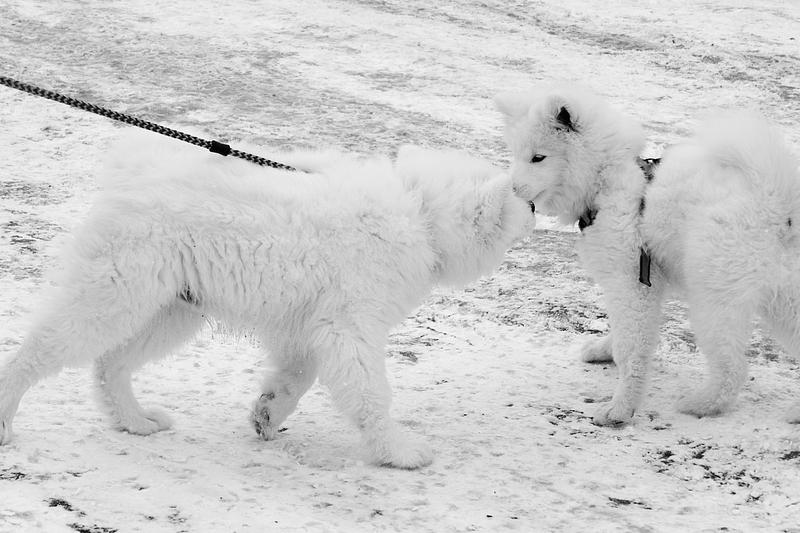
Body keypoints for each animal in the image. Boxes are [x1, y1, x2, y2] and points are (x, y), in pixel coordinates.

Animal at [0, 134, 531, 468]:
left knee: (110, 365)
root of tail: (133, 171)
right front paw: (399, 452)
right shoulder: (348, 325)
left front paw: (267, 415)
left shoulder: (308, 326)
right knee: (38, 354)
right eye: (521, 200)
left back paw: (137, 422)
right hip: (113, 294)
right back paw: (5, 421)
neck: (420, 210)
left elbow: (295, 377)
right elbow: (369, 393)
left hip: (171, 307)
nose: (531, 202)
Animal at [495, 85, 800, 426]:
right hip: (783, 299)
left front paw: (620, 408)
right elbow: (620, 330)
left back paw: (701, 404)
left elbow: (631, 347)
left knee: (732, 368)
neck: (605, 178)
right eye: (516, 154)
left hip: (712, 297)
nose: (512, 191)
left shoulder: (632, 280)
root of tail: (777, 205)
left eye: (538, 157)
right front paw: (604, 350)